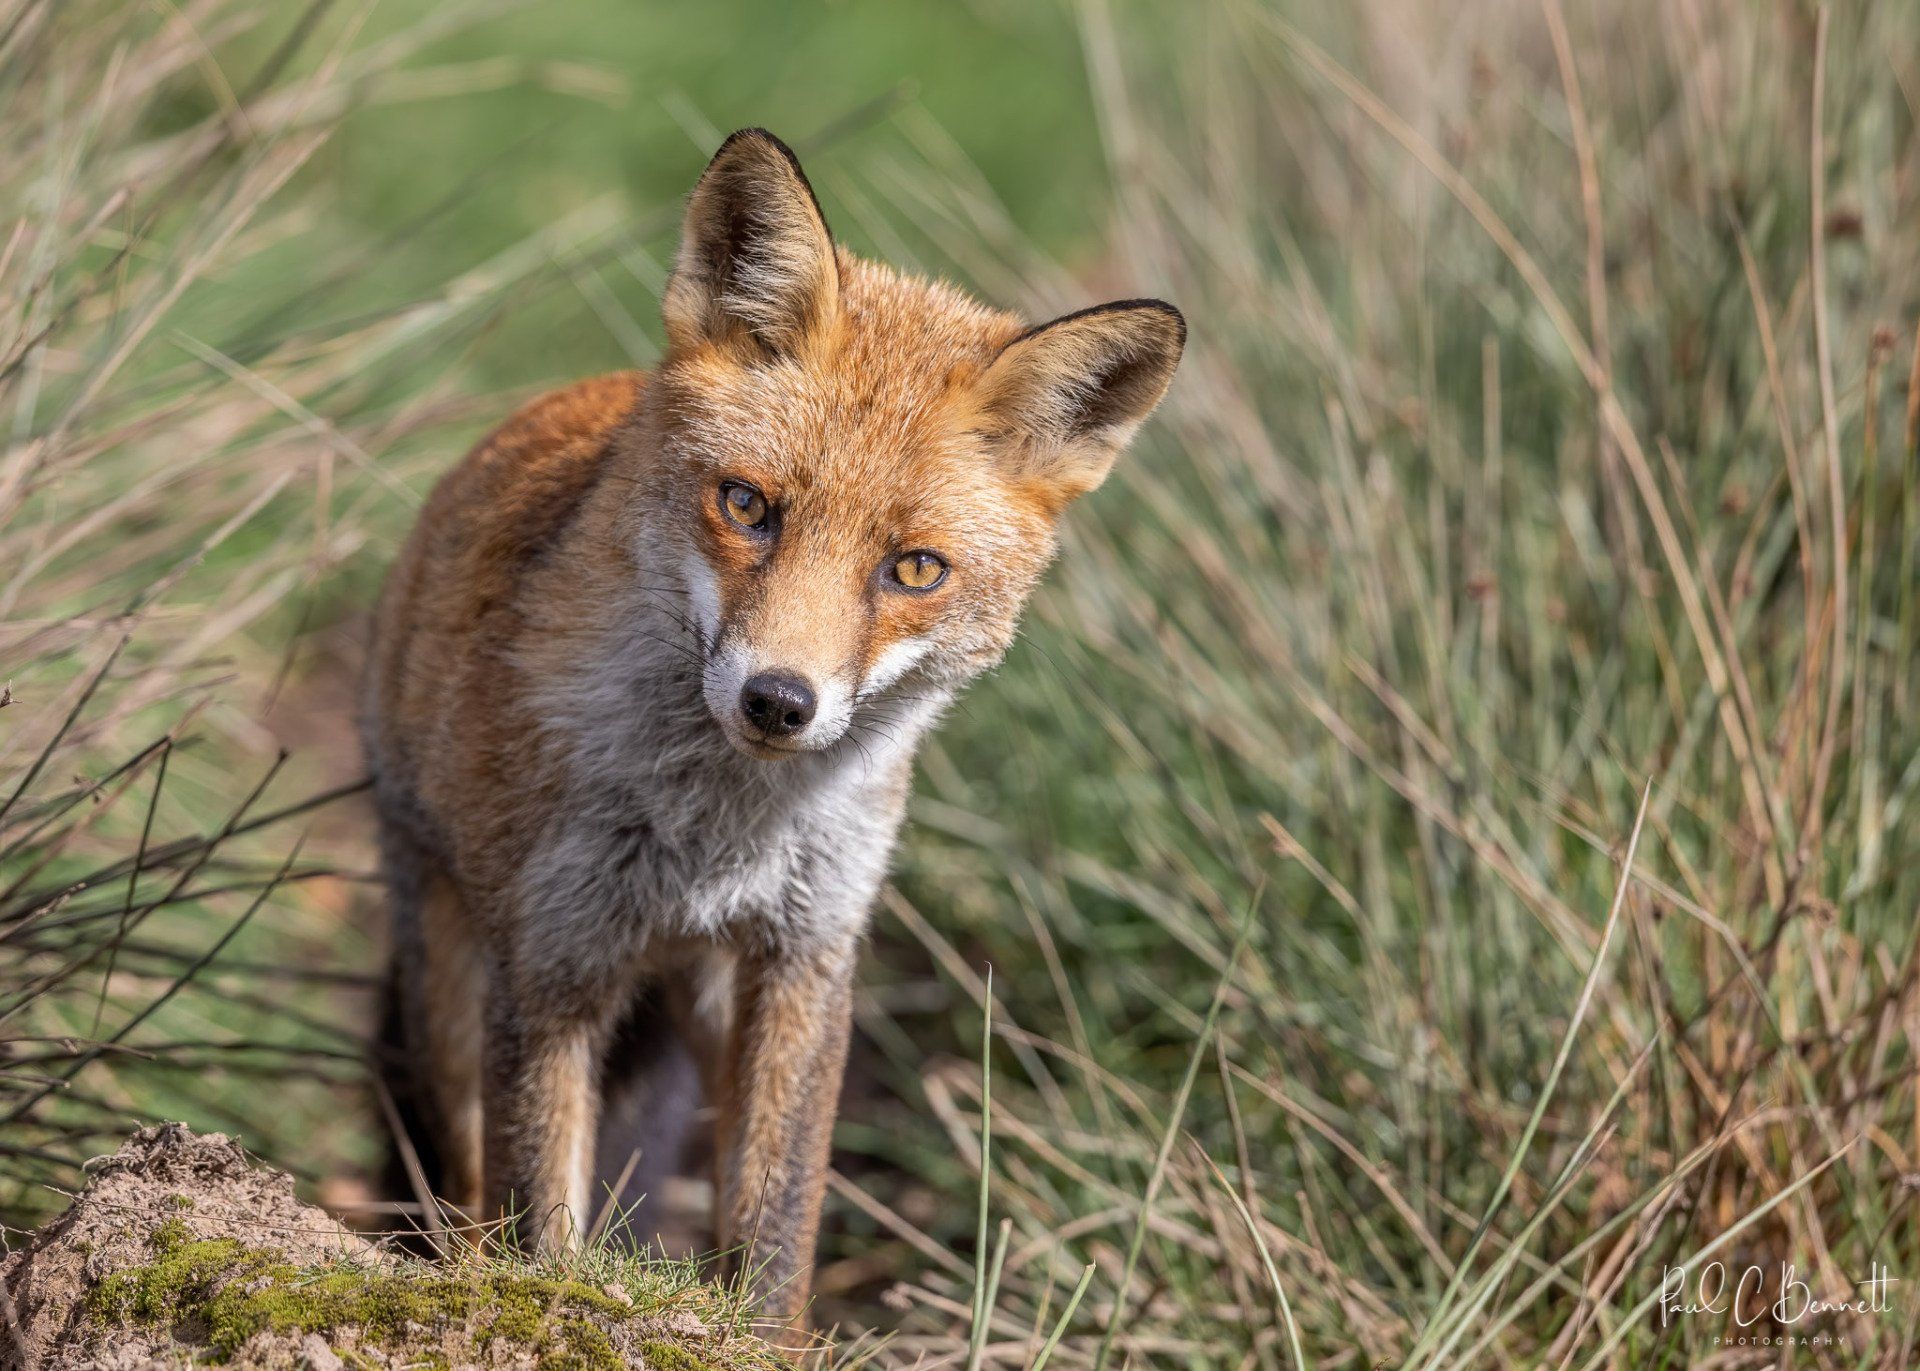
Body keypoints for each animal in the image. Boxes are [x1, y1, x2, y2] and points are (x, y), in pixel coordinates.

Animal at [362, 127, 1183, 1339]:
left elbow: (777, 1219)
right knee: (459, 1177)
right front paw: (542, 1303)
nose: (778, 701)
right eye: (748, 506)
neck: (714, 836)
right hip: (449, 966)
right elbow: (535, 1219)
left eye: (915, 569)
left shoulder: (808, 958)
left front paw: (757, 1336)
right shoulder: (551, 964)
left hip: (703, 1007)